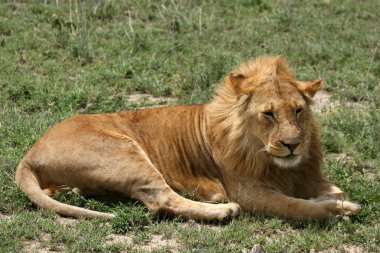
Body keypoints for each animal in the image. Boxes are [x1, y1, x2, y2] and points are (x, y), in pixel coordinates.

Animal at [15, 55, 360, 221]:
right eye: (269, 114)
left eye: (299, 111)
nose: (292, 145)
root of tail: (30, 154)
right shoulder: (247, 190)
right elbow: (294, 206)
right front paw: (335, 210)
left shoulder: (308, 176)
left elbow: (336, 191)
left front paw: (336, 200)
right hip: (124, 153)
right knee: (162, 200)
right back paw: (223, 210)